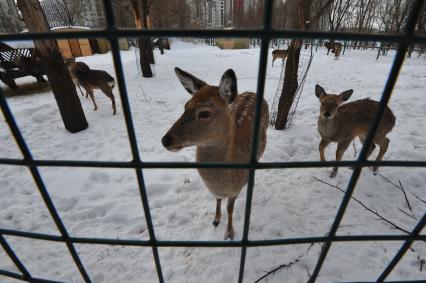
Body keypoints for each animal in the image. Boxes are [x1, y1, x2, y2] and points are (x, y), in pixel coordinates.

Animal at [161, 67, 268, 241]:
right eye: (186, 106)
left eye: (205, 113)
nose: (165, 140)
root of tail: (253, 92)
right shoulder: (215, 190)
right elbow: (218, 200)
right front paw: (216, 220)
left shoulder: (235, 190)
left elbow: (230, 208)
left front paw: (229, 232)